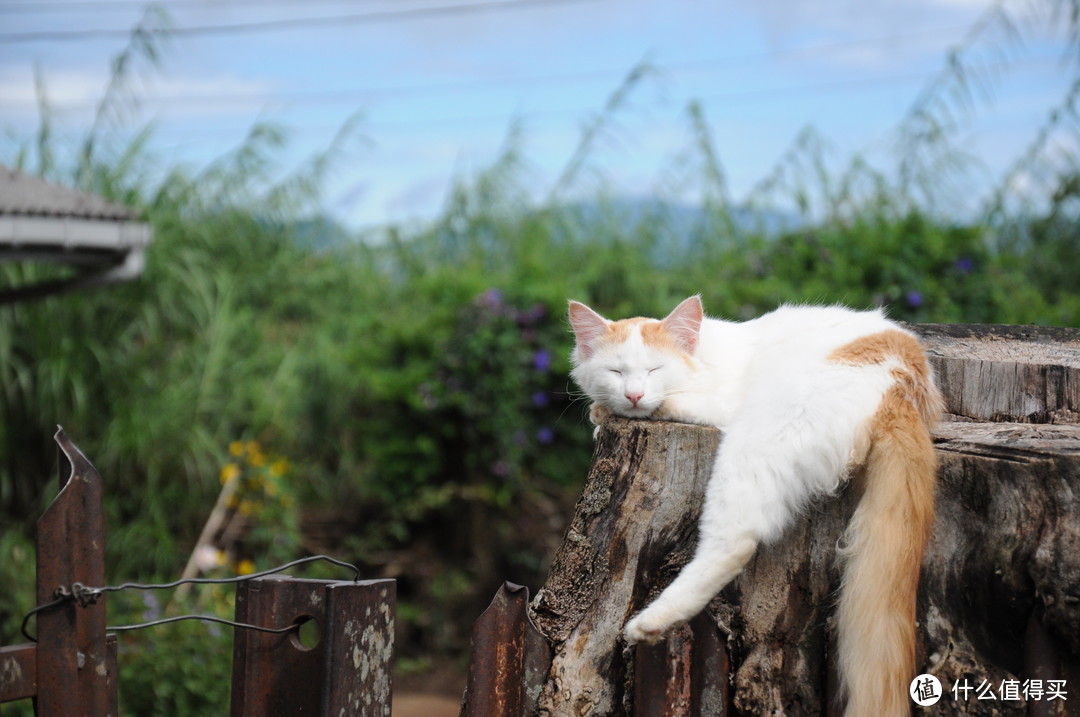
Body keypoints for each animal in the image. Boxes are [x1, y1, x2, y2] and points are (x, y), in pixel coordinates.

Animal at [570, 295, 941, 717]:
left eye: (654, 369)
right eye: (615, 372)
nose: (633, 395)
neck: (705, 354)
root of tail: (902, 384)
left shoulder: (721, 401)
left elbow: (668, 404)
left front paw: (620, 411)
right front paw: (603, 412)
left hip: (755, 437)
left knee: (735, 543)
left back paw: (651, 623)